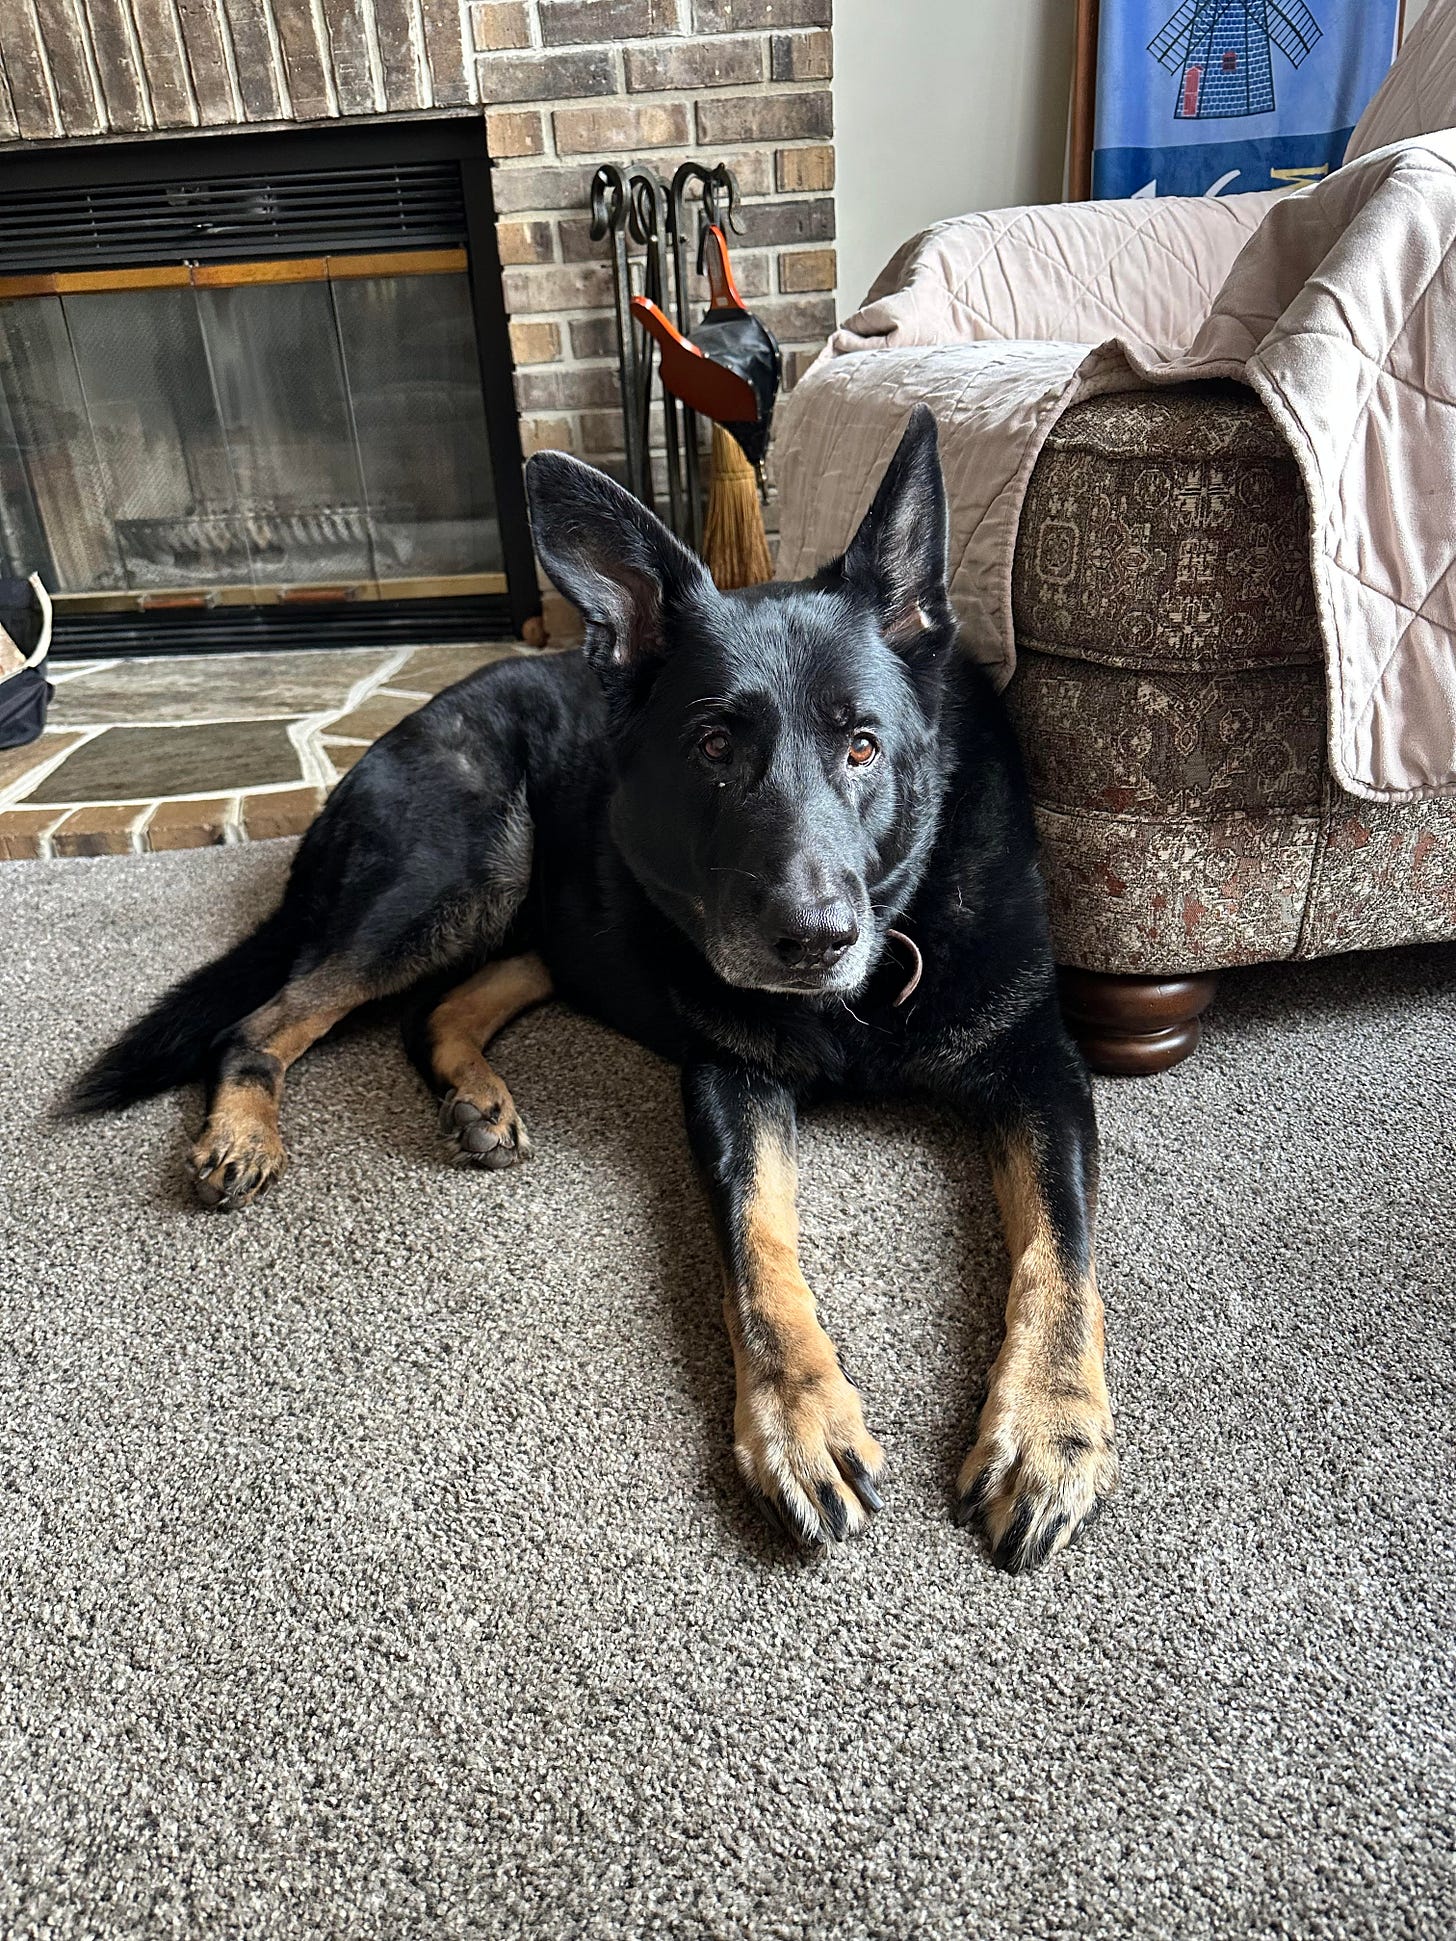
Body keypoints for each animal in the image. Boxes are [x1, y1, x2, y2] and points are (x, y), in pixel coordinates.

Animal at [69, 407, 1117, 1571]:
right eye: (713, 745)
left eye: (862, 747)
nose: (812, 942)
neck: (888, 949)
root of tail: (391, 736)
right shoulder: (727, 1082)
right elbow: (757, 1247)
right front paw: (798, 1417)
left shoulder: (1041, 1073)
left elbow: (1059, 1255)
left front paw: (1051, 1428)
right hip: (468, 862)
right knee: (268, 1016)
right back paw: (245, 1129)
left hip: (546, 906)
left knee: (437, 1007)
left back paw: (474, 1097)